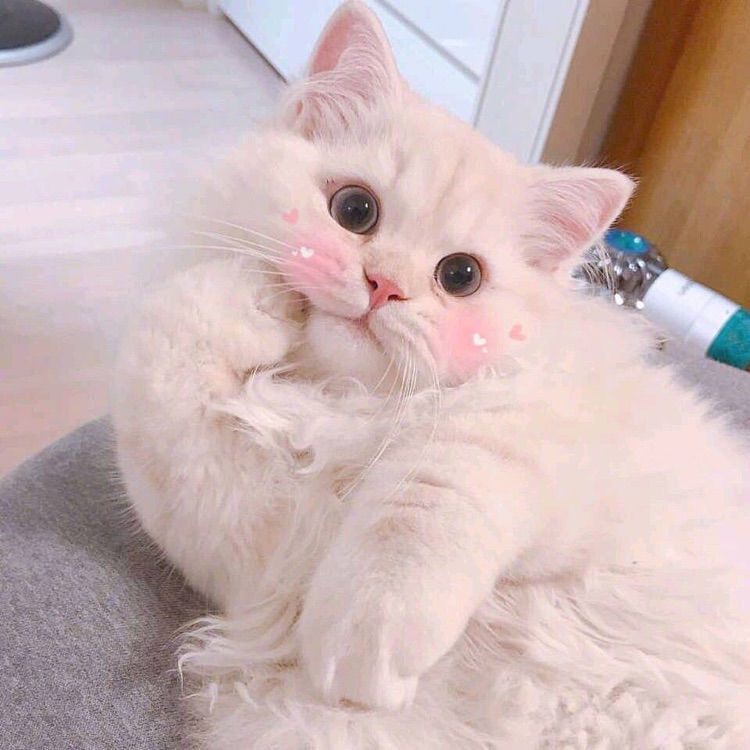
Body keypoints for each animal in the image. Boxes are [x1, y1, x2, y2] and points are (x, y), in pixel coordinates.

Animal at [113, 2, 750, 748]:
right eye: (354, 210)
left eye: (460, 276)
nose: (384, 286)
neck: (344, 401)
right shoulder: (236, 545)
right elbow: (166, 337)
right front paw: (259, 299)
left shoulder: (530, 434)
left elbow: (426, 501)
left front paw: (365, 647)